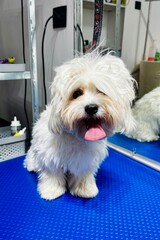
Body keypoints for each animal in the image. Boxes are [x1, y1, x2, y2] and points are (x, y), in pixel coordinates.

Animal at [24, 53, 135, 201]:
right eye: (76, 93)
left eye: (102, 91)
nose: (91, 108)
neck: (76, 137)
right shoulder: (50, 157)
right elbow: (52, 175)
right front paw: (51, 190)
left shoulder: (84, 160)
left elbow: (82, 175)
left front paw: (84, 189)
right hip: (34, 153)